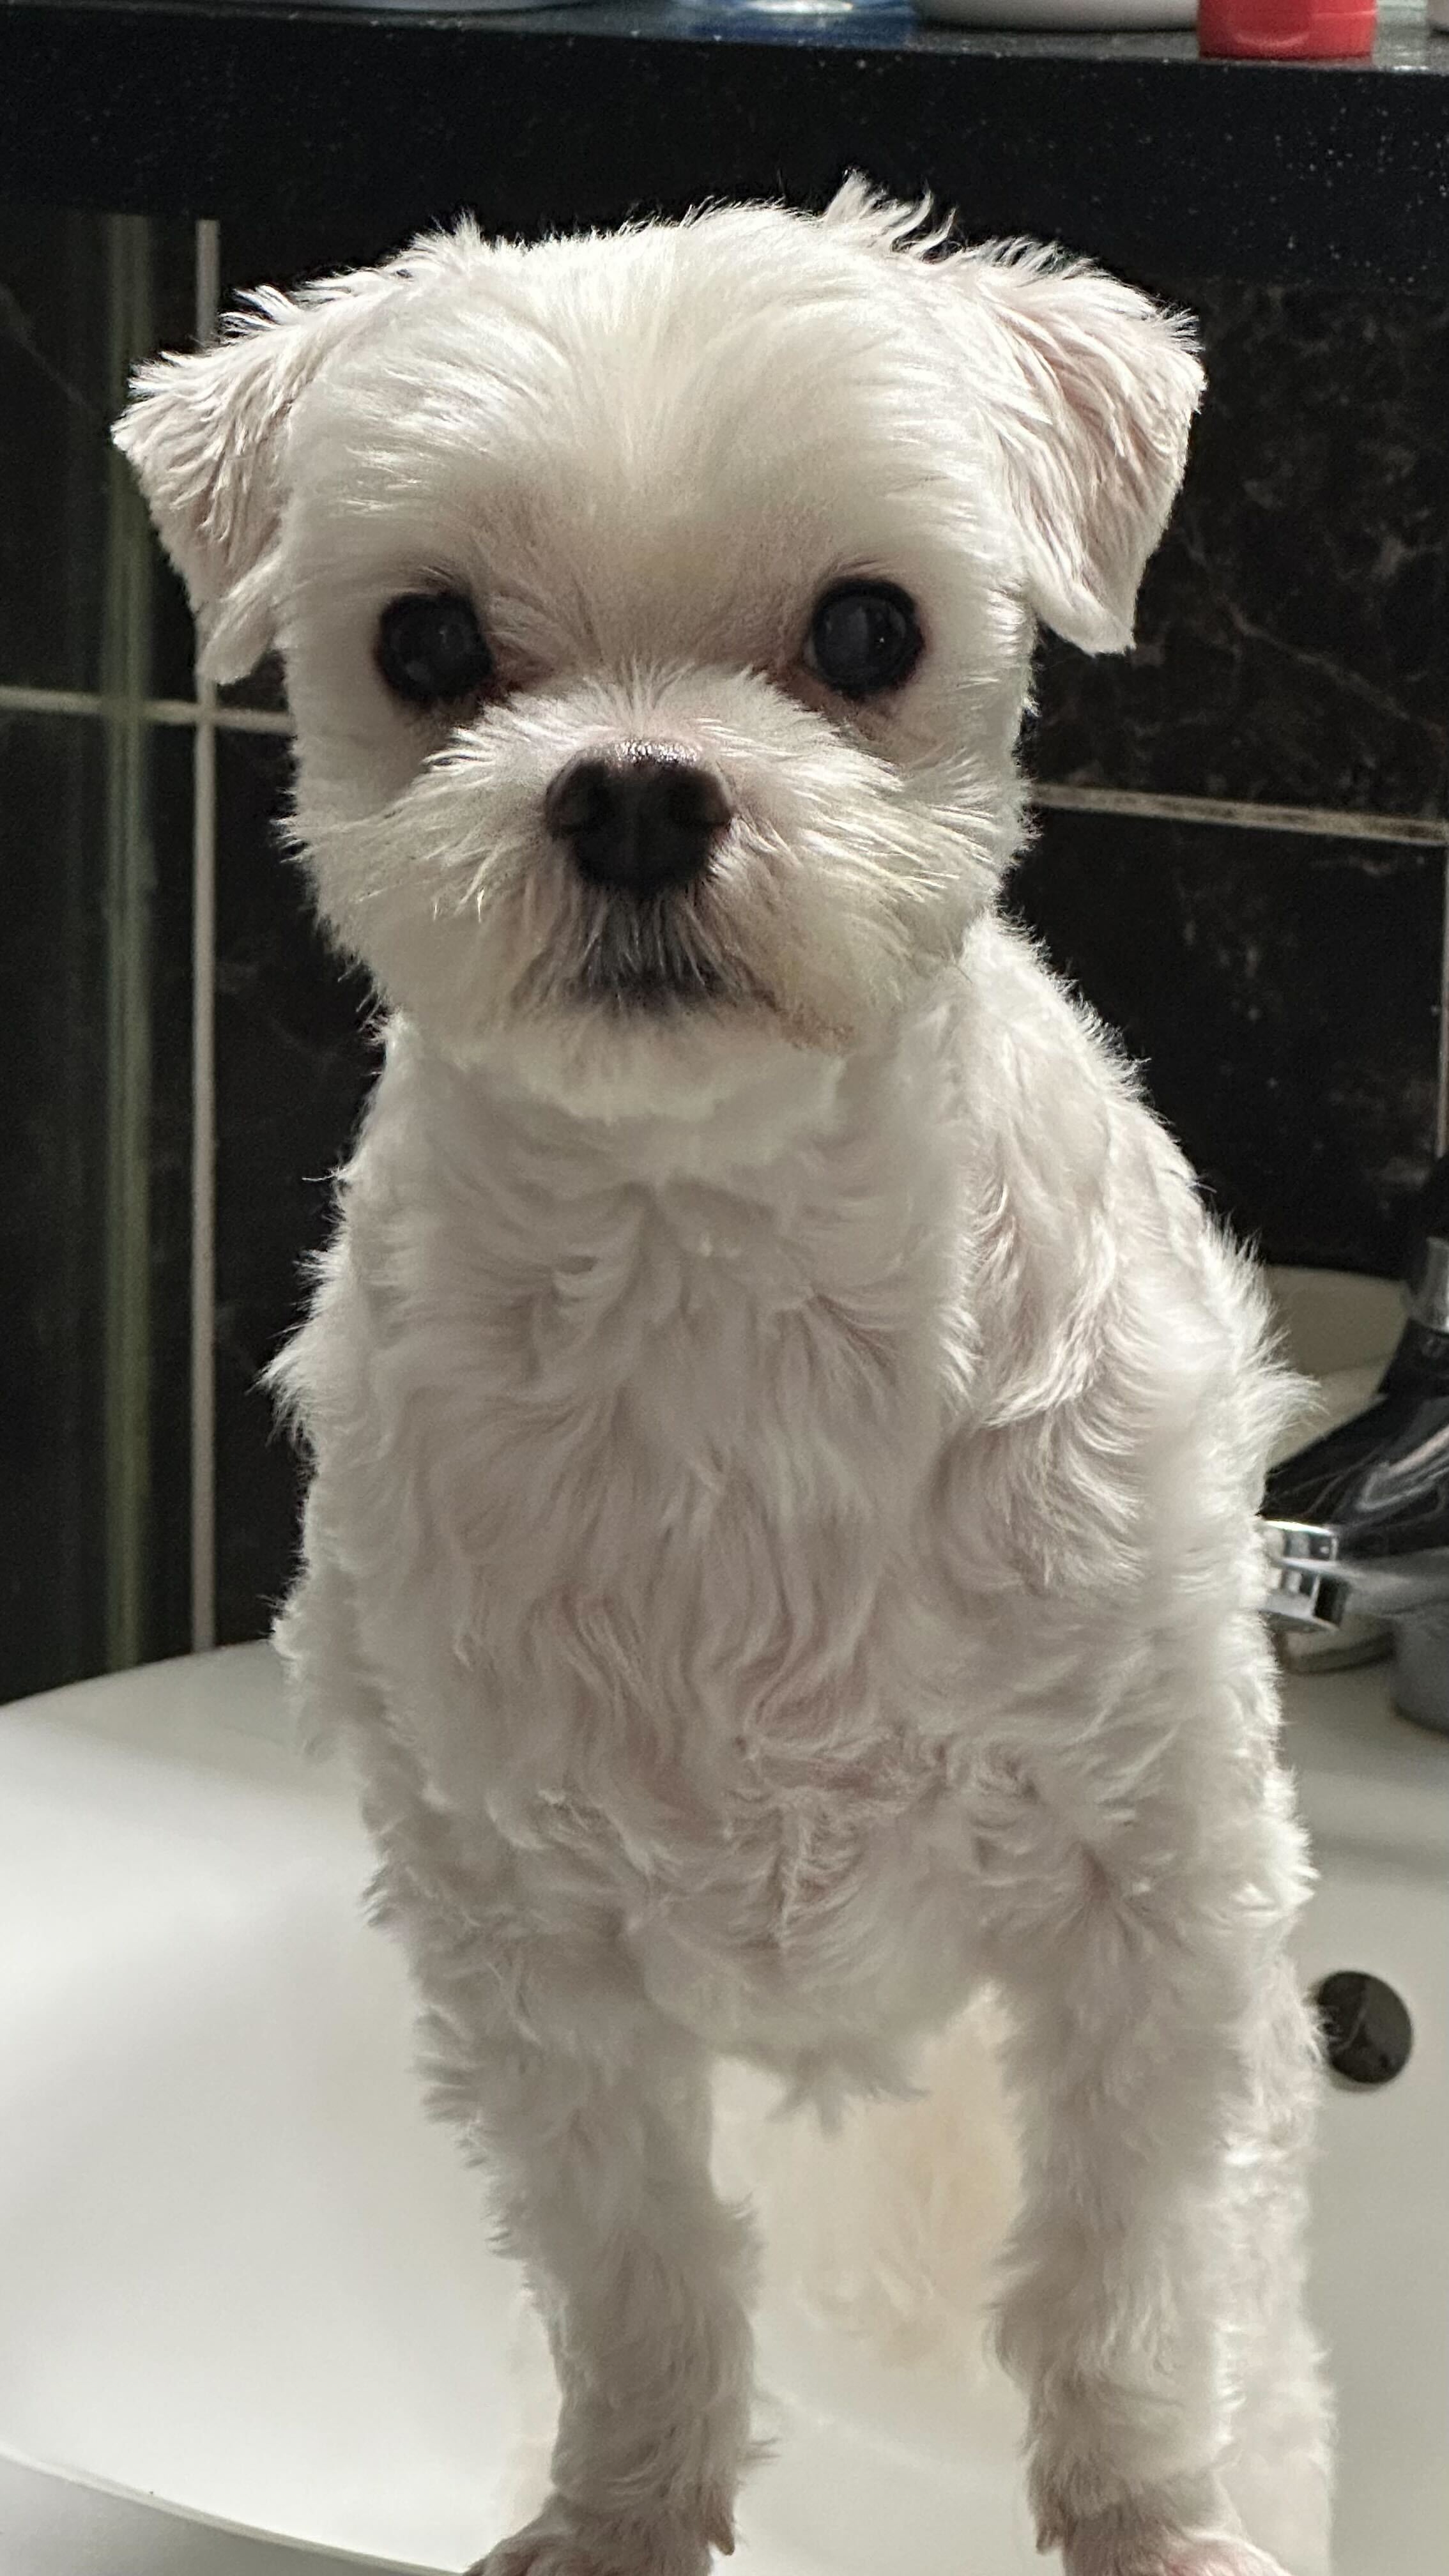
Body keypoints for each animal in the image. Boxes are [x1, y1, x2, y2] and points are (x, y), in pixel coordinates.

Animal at [116, 184, 1331, 2576]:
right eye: (425, 644)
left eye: (867, 627)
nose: (633, 794)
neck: (722, 1280)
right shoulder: (525, 1952)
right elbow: (639, 2265)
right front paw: (620, 2513)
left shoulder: (1152, 1902)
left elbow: (1120, 2275)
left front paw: (1150, 2520)